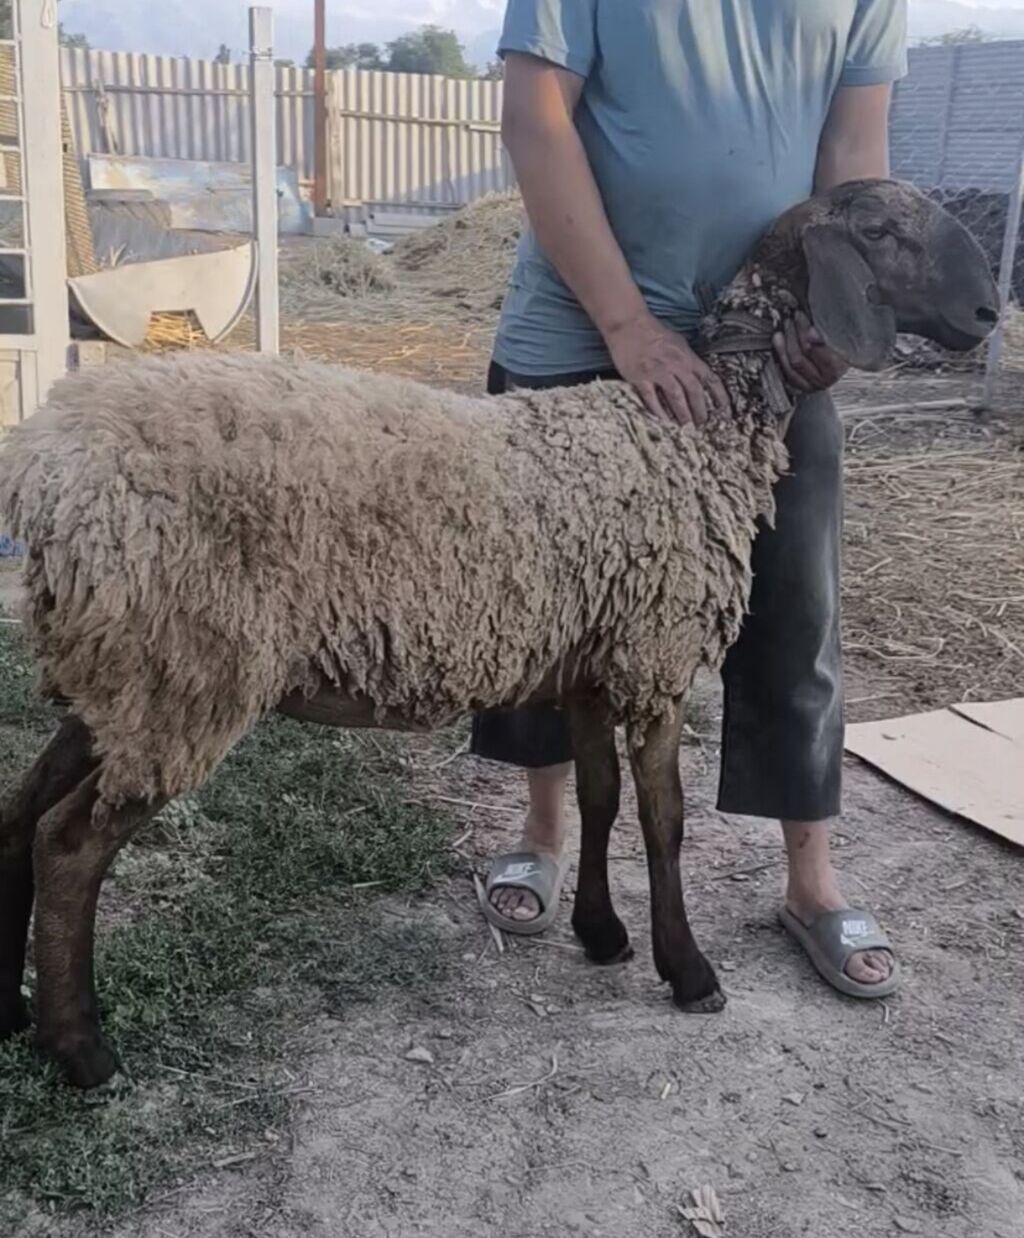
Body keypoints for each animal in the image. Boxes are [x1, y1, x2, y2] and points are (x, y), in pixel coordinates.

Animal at [0, 179, 998, 1089]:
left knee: (22, 809)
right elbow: (665, 821)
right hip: (184, 671)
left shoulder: (590, 661)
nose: (988, 312)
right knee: (69, 844)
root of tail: (44, 470)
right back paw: (81, 1050)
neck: (695, 432)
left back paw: (13, 1009)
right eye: (884, 230)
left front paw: (601, 932)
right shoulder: (656, 653)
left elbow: (599, 798)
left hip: (121, 666)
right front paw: (688, 971)